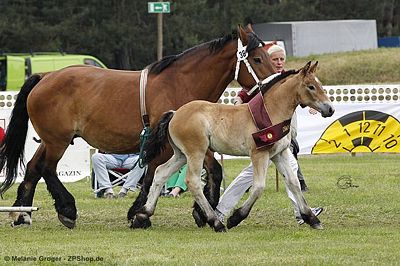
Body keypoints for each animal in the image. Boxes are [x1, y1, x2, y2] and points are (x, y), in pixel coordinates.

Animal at [0, 25, 276, 229]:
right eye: (257, 58)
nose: (274, 83)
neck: (180, 83)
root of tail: (44, 76)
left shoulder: (193, 143)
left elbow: (213, 171)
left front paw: (200, 211)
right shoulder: (170, 145)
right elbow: (153, 175)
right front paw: (139, 214)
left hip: (51, 140)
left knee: (34, 168)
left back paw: (22, 214)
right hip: (57, 141)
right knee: (47, 168)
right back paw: (66, 209)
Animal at [131, 61, 334, 231]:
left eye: (320, 84)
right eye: (311, 86)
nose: (330, 109)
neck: (270, 112)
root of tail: (175, 113)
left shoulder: (279, 153)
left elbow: (293, 183)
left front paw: (311, 218)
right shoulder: (259, 154)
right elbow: (258, 187)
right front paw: (235, 218)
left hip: (181, 154)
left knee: (160, 172)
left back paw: (142, 215)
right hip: (196, 152)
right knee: (193, 182)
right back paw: (216, 222)